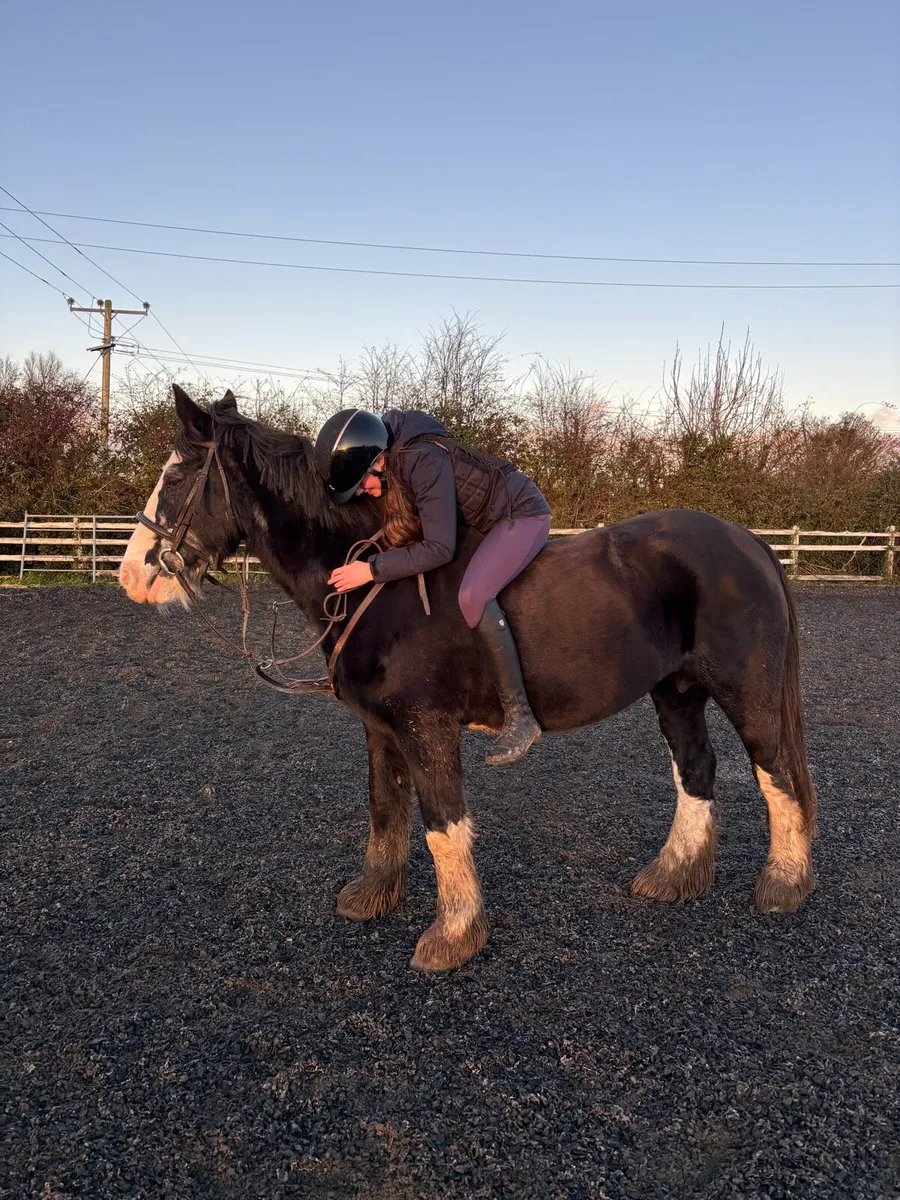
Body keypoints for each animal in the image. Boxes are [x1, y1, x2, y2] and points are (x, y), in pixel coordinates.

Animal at [119, 385, 817, 971]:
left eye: (175, 476)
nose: (133, 575)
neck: (377, 588)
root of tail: (750, 543)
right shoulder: (381, 728)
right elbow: (385, 809)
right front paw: (374, 896)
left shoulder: (427, 729)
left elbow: (441, 824)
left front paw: (452, 935)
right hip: (676, 691)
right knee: (696, 769)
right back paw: (674, 875)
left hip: (746, 692)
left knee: (775, 773)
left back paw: (783, 884)